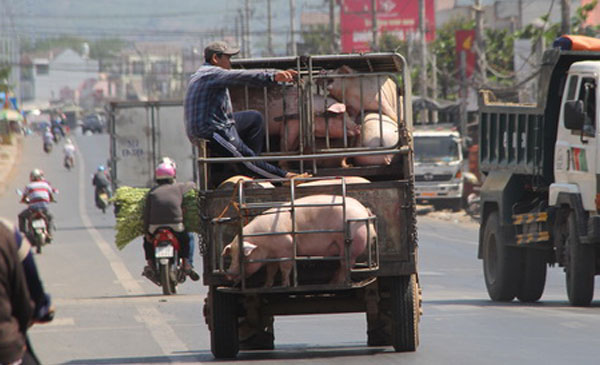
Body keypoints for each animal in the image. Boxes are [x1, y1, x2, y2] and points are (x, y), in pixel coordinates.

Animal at [223, 195, 378, 286]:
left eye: (241, 256)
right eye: (232, 255)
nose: (228, 273)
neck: (263, 244)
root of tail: (364, 211)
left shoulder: (286, 247)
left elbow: (285, 268)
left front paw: (284, 285)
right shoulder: (272, 256)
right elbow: (271, 271)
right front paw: (266, 286)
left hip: (350, 243)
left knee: (347, 264)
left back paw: (337, 283)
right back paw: (332, 281)